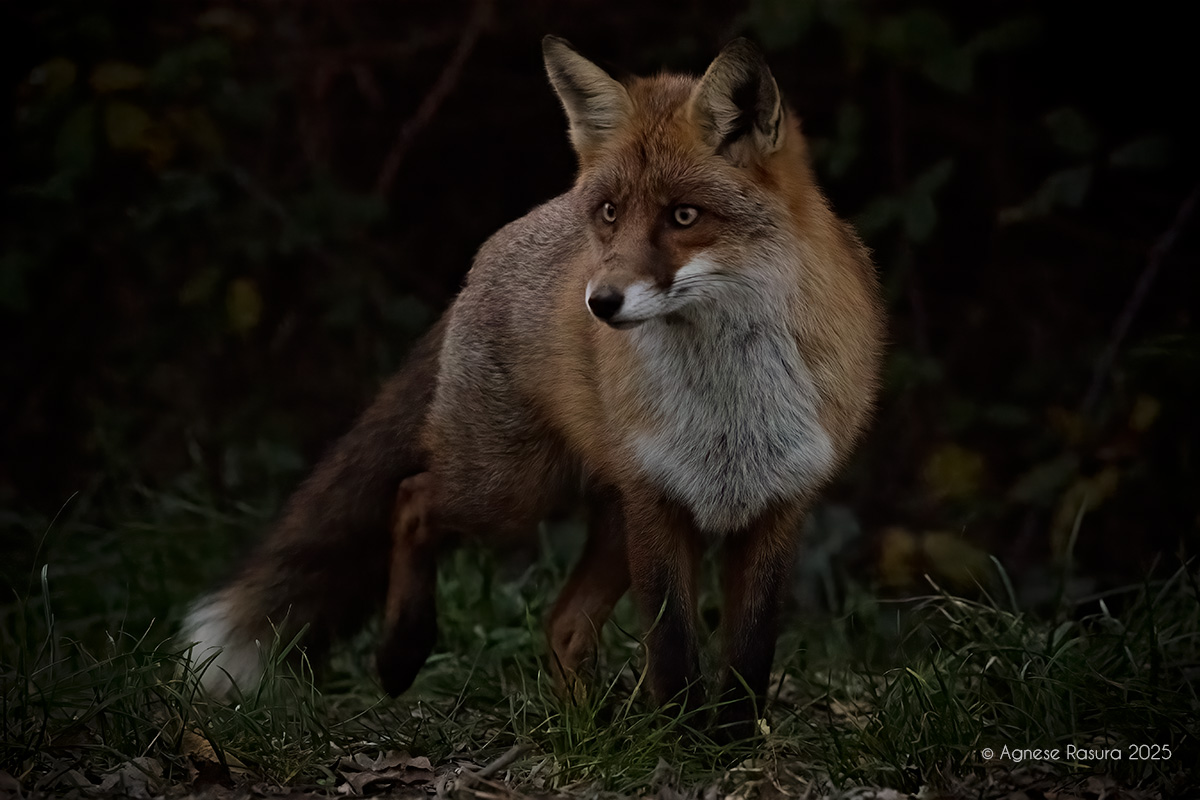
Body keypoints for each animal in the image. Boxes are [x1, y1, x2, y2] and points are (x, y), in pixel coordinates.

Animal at [181, 36, 885, 739]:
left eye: (684, 216)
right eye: (610, 213)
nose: (600, 302)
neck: (731, 407)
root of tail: (495, 246)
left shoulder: (779, 506)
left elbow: (749, 656)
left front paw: (730, 742)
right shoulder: (658, 504)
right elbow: (672, 649)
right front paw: (682, 737)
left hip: (603, 517)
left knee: (563, 622)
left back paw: (585, 731)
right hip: (512, 491)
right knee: (411, 499)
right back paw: (403, 652)